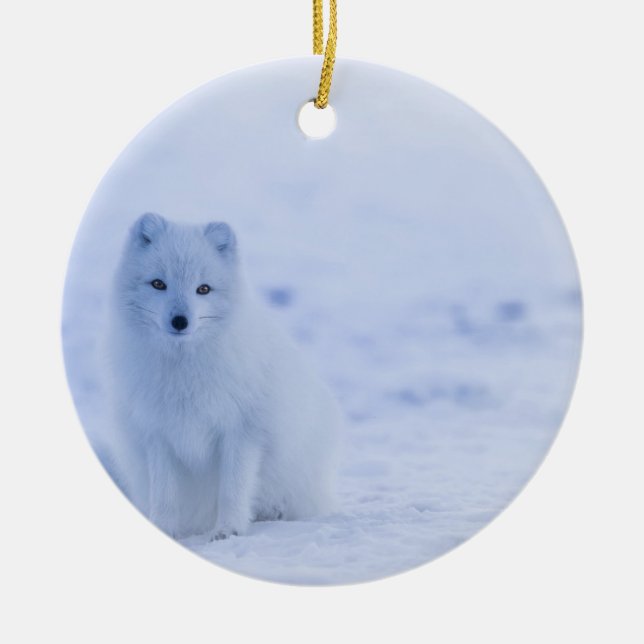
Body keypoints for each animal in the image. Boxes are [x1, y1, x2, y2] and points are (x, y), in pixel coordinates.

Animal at [104, 213, 341, 540]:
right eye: (158, 284)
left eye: (203, 289)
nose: (180, 321)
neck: (185, 371)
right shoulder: (158, 434)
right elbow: (164, 493)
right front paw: (165, 529)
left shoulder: (242, 431)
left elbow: (233, 488)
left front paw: (228, 530)